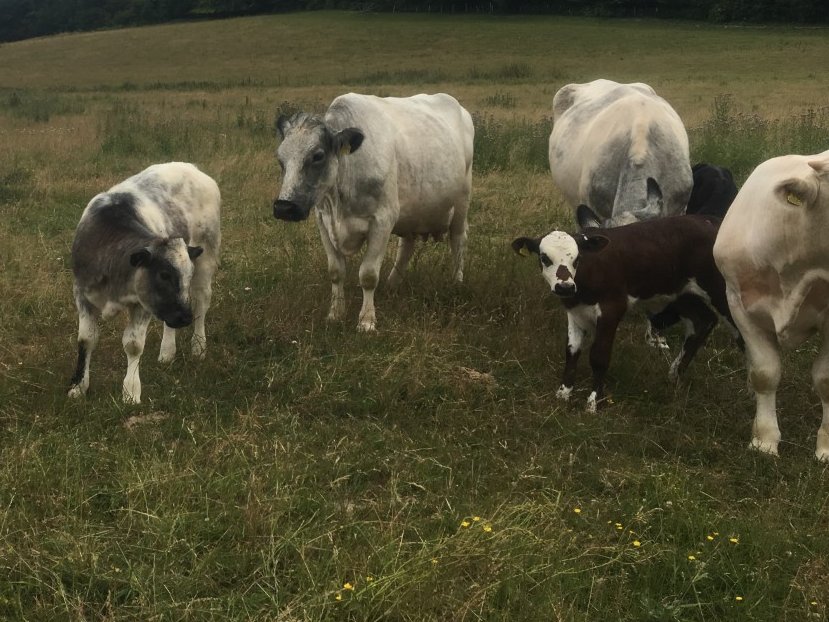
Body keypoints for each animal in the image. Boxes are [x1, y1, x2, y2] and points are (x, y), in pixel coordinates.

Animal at [67, 162, 221, 404]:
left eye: (186, 276)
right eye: (164, 275)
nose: (184, 318)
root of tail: (191, 168)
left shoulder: (143, 303)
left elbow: (133, 344)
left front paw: (131, 392)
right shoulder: (82, 293)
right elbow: (86, 339)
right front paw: (79, 386)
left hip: (207, 257)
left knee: (202, 302)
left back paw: (198, 345)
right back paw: (167, 351)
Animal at [272, 92, 474, 332]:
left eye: (317, 156)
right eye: (280, 158)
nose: (284, 207)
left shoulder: (382, 221)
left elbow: (368, 274)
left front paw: (366, 321)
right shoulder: (323, 220)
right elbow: (335, 271)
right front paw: (335, 314)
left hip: (461, 204)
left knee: (458, 241)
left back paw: (457, 282)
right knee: (406, 245)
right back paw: (393, 283)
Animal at [513, 205, 738, 413]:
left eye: (576, 259)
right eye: (544, 258)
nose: (564, 286)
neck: (588, 275)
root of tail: (713, 221)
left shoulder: (611, 309)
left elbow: (599, 356)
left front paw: (594, 402)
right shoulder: (575, 312)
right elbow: (571, 351)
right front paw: (563, 393)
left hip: (722, 292)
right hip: (679, 294)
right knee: (703, 320)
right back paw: (675, 374)